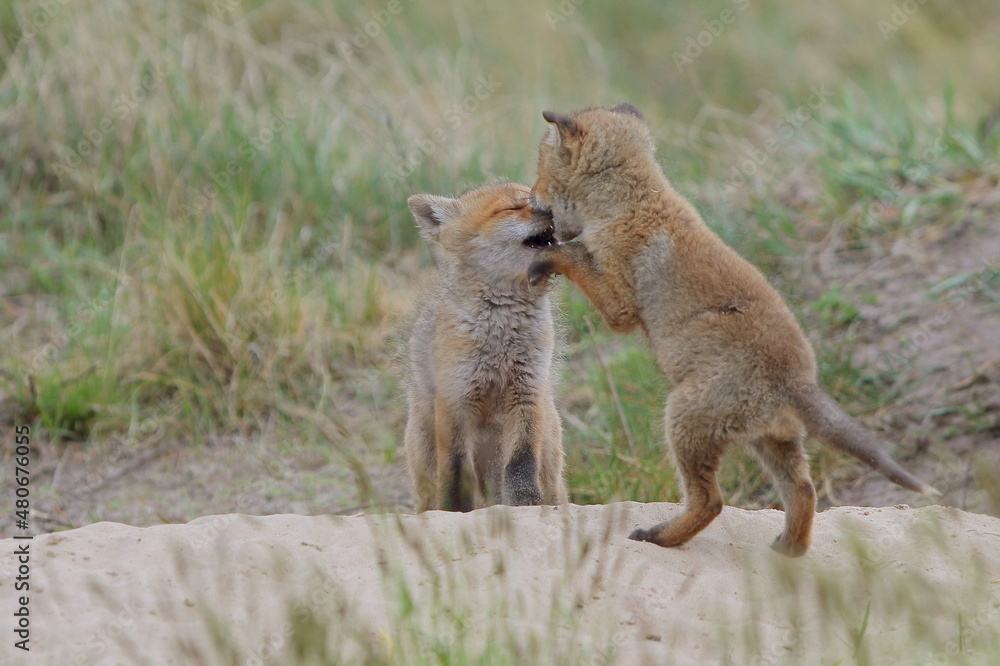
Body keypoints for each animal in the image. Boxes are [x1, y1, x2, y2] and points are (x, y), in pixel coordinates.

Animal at [405, 182, 568, 512]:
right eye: (513, 207)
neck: (501, 339)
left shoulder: (527, 391)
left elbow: (521, 464)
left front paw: (526, 505)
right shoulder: (455, 398)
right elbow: (455, 472)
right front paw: (453, 510)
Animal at [527, 103, 938, 556]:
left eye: (539, 172)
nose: (529, 198)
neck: (632, 203)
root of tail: (798, 382)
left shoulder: (619, 304)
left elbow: (574, 256)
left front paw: (546, 257)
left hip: (684, 420)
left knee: (712, 501)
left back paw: (660, 536)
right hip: (771, 441)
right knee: (804, 490)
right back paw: (787, 551)